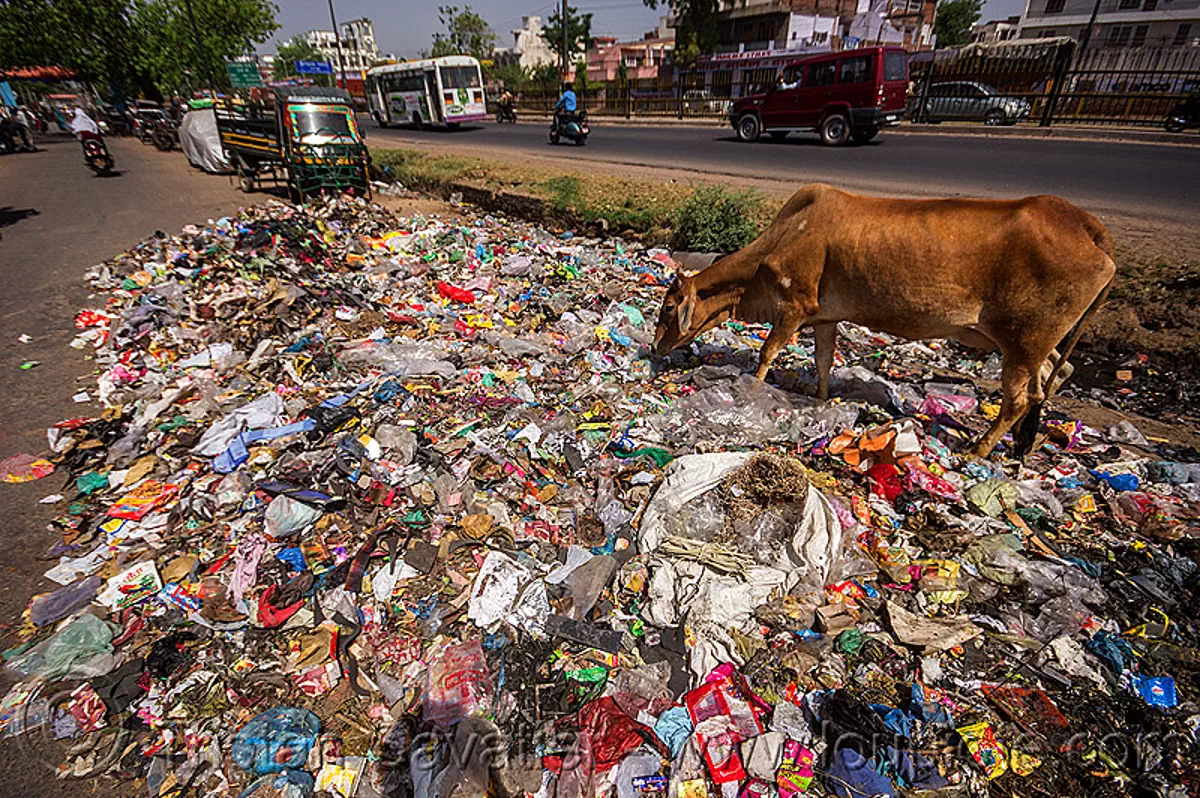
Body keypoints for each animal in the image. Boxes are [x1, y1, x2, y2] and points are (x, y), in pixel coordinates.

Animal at [657, 182, 1113, 453]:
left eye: (668, 307)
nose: (656, 346)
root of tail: (1083, 223)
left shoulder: (794, 307)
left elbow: (767, 353)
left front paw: (751, 393)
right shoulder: (824, 317)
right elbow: (824, 361)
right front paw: (820, 401)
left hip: (1023, 340)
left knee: (1019, 398)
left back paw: (980, 449)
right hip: (1034, 343)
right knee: (1057, 374)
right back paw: (1022, 445)